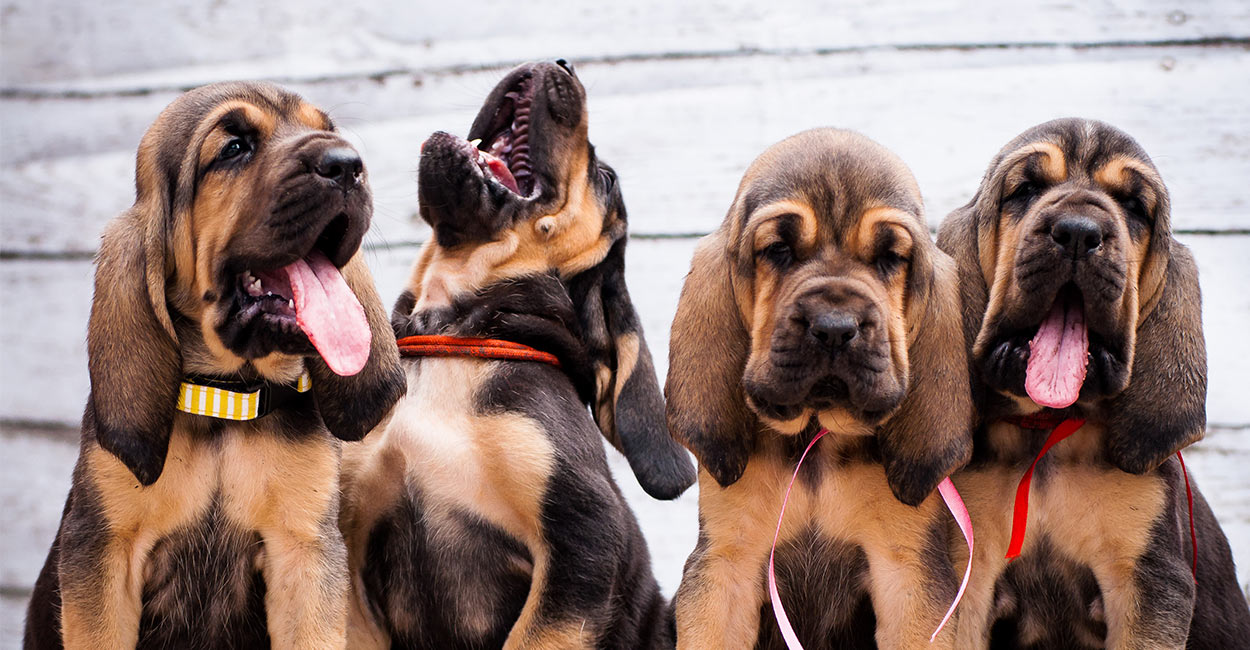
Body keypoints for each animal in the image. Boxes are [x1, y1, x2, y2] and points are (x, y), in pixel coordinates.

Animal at [24, 81, 405, 650]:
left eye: (328, 131)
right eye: (233, 149)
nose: (347, 165)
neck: (228, 397)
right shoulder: (104, 553)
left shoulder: (305, 554)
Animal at [940, 118, 1250, 650]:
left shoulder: (1146, 585)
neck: (1047, 434)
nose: (1078, 233)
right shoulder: (968, 579)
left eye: (1134, 206)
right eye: (1026, 189)